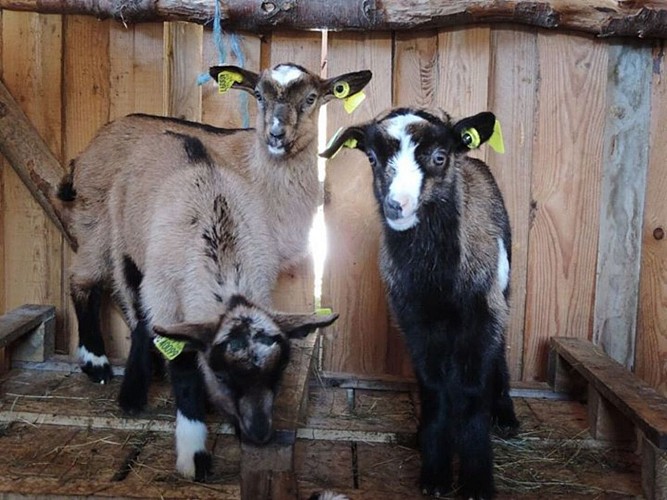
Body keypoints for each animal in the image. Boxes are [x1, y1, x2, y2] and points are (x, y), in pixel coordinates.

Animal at [59, 63, 371, 384]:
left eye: (311, 98)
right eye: (258, 95)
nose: (276, 134)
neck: (262, 175)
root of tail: (87, 151)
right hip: (96, 219)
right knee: (85, 279)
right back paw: (96, 362)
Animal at [321, 107, 519, 499]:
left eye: (439, 157)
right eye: (372, 158)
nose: (396, 206)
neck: (437, 278)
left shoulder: (481, 311)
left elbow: (472, 389)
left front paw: (476, 480)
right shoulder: (413, 317)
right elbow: (433, 386)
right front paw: (435, 473)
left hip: (499, 292)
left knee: (499, 353)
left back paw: (505, 415)